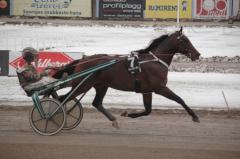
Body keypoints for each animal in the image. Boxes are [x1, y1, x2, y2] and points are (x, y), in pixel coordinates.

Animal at [53, 27, 201, 129]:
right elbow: (179, 99)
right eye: (186, 40)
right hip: (83, 85)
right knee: (63, 98)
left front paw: (128, 114)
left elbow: (148, 110)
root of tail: (82, 60)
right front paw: (194, 116)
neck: (155, 61)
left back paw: (114, 120)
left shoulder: (147, 90)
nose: (197, 54)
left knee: (96, 103)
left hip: (101, 85)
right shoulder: (160, 88)